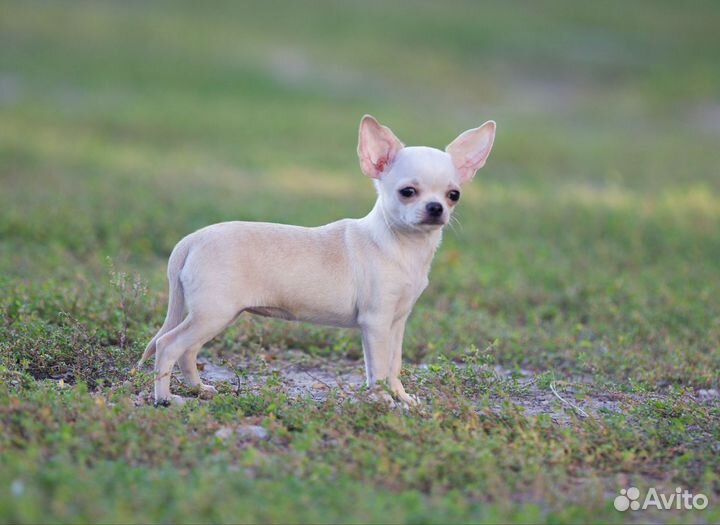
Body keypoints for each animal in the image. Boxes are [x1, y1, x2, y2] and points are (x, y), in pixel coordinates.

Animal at [139, 115, 496, 406]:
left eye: (453, 195)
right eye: (407, 192)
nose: (436, 208)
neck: (402, 245)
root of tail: (191, 240)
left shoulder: (397, 323)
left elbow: (393, 365)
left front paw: (402, 398)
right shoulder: (376, 323)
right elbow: (378, 368)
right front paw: (382, 400)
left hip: (214, 316)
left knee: (187, 351)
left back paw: (199, 390)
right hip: (213, 314)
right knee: (168, 345)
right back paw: (164, 398)